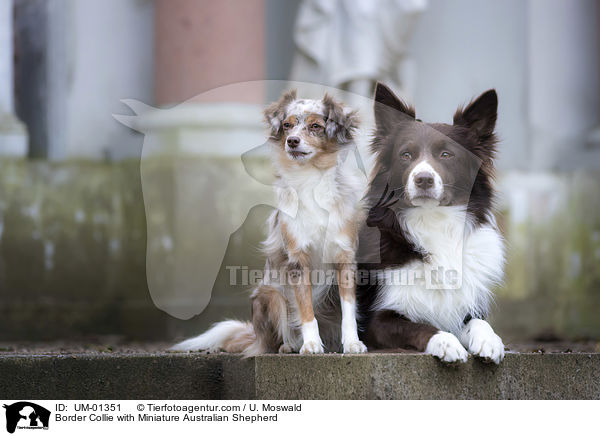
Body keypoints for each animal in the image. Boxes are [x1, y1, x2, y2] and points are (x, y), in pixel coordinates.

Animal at [356, 83, 506, 362]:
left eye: (446, 154)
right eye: (406, 155)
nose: (423, 179)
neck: (433, 221)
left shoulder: (468, 307)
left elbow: (479, 322)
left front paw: (489, 340)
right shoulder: (375, 322)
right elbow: (419, 326)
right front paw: (446, 342)